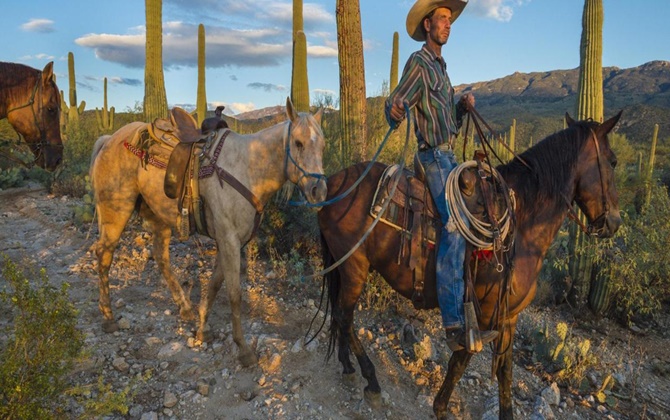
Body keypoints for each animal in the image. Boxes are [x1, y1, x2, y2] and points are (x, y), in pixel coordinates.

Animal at [91, 98, 328, 368]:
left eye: (322, 145)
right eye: (298, 143)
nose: (319, 191)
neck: (249, 169)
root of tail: (109, 139)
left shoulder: (232, 241)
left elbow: (214, 284)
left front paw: (203, 328)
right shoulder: (228, 239)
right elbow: (234, 294)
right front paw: (243, 349)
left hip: (158, 217)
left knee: (161, 257)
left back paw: (185, 307)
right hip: (116, 211)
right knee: (104, 256)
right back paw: (108, 316)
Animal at [320, 111, 624, 416]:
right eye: (613, 161)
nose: (614, 222)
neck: (523, 223)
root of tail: (333, 183)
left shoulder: (508, 316)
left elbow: (505, 371)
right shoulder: (483, 314)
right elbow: (461, 361)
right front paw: (441, 407)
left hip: (345, 267)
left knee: (340, 314)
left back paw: (347, 366)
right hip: (354, 267)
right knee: (344, 316)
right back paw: (371, 380)